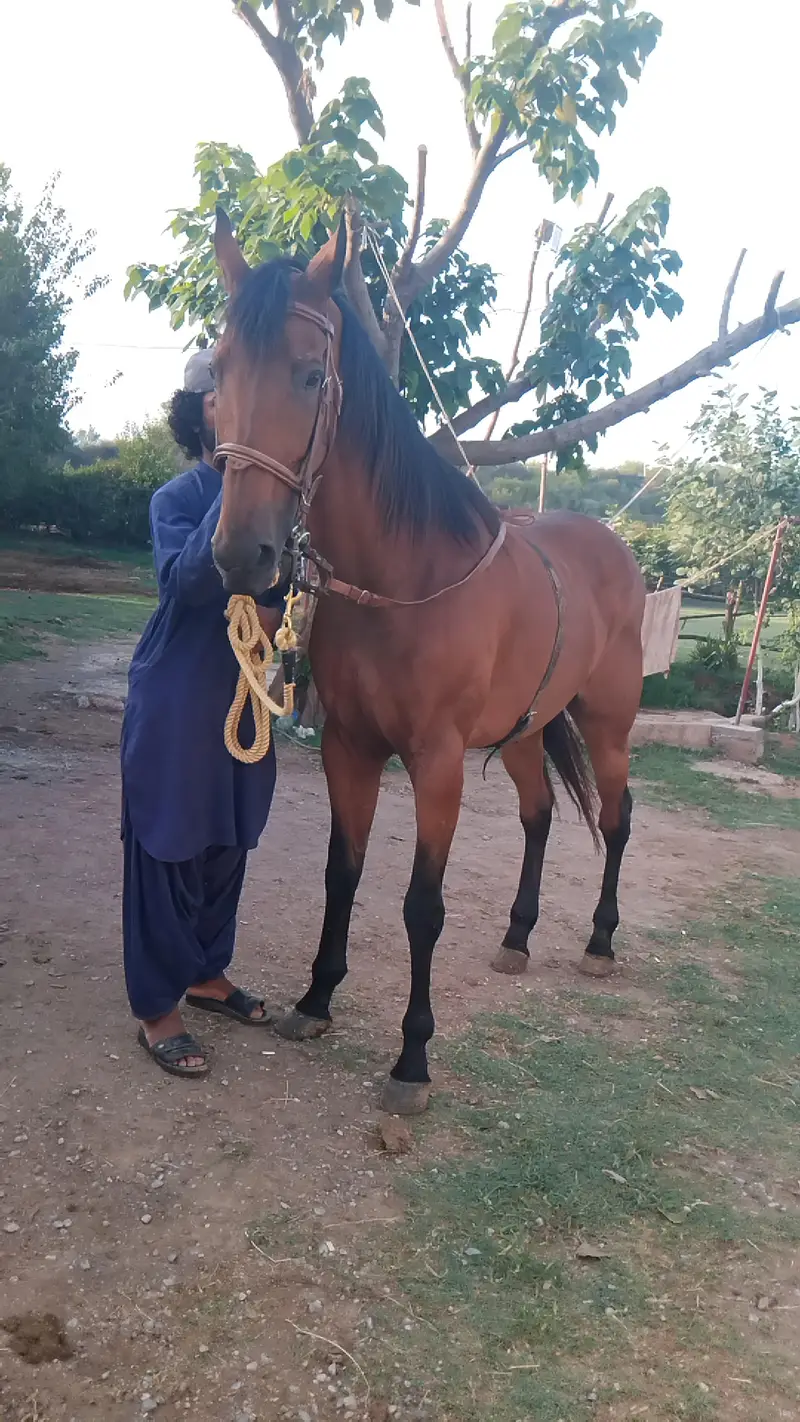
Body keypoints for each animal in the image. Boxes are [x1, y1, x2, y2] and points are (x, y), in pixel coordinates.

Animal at [210, 212, 646, 1116]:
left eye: (311, 375)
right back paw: (518, 935)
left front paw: (411, 1061)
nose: (242, 556)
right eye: (220, 371)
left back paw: (599, 940)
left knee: (617, 821)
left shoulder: (436, 762)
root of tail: (616, 550)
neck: (404, 581)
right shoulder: (350, 750)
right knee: (539, 817)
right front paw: (316, 999)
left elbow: (422, 907)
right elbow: (341, 874)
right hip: (526, 729)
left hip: (608, 724)